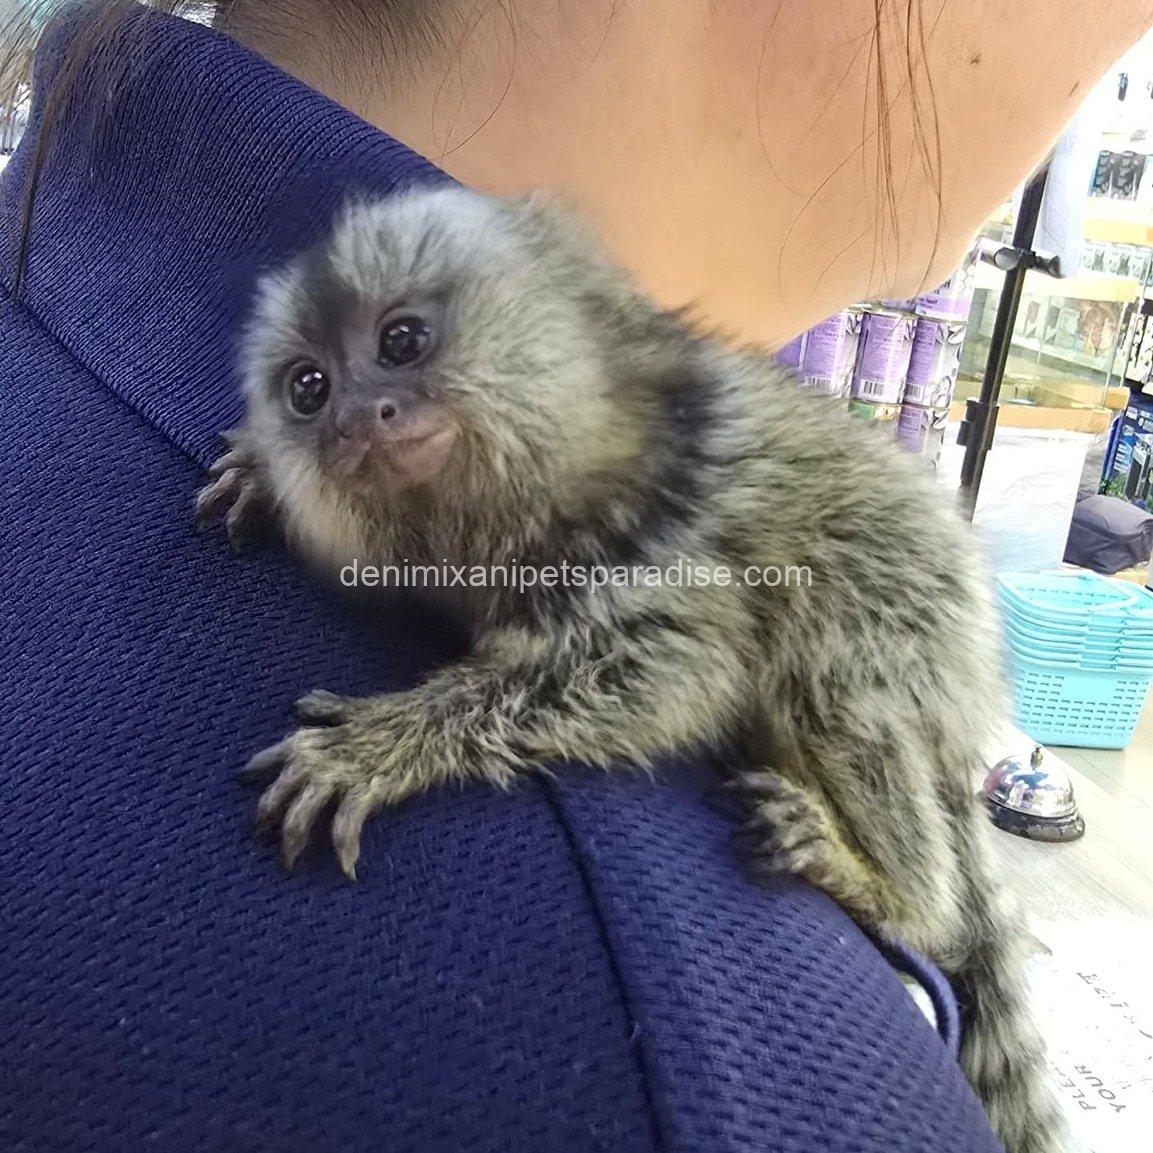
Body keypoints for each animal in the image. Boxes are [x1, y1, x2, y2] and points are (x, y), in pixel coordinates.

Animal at [196, 186, 1067, 1153]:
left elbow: (681, 667)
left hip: (916, 626)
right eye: (308, 389)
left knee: (833, 662)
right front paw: (264, 476)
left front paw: (383, 745)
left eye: (402, 341)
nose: (356, 419)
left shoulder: (662, 533)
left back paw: (892, 893)